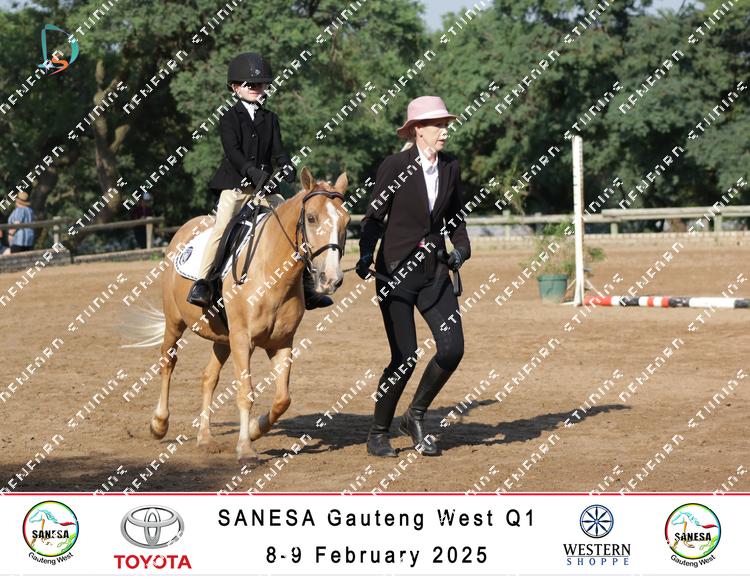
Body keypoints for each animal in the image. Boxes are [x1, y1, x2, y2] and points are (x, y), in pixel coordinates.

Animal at [143, 168, 349, 465]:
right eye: (311, 218)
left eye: (346, 220)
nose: (331, 279)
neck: (271, 271)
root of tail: (183, 230)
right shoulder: (243, 340)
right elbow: (245, 393)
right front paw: (245, 448)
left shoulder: (281, 343)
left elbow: (282, 399)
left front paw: (253, 430)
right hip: (175, 323)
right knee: (167, 363)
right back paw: (159, 424)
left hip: (223, 338)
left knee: (208, 378)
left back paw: (205, 438)